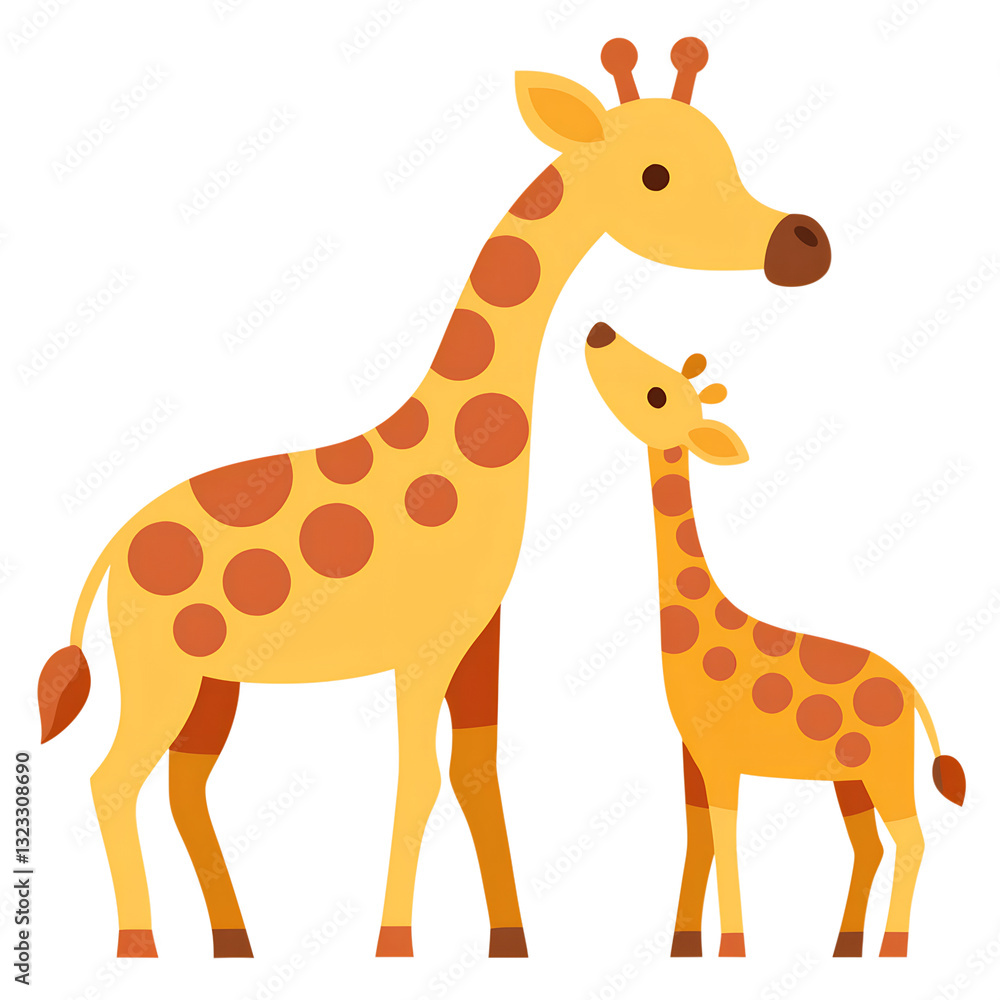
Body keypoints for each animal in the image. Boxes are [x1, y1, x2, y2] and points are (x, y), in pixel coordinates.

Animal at [35, 38, 831, 960]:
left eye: (729, 155)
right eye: (657, 175)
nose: (804, 244)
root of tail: (116, 545)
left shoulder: (480, 632)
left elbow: (474, 772)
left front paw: (509, 942)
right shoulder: (421, 646)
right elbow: (416, 780)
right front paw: (394, 943)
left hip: (212, 679)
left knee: (182, 785)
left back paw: (234, 943)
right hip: (158, 672)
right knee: (111, 778)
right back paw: (139, 945)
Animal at [583, 321, 966, 959]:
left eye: (658, 395)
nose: (599, 331)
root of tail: (913, 691)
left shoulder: (722, 758)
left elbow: (726, 838)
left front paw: (733, 949)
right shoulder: (691, 755)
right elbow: (698, 839)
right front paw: (683, 950)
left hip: (887, 768)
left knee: (911, 838)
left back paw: (892, 948)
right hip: (849, 775)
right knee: (870, 844)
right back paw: (845, 947)